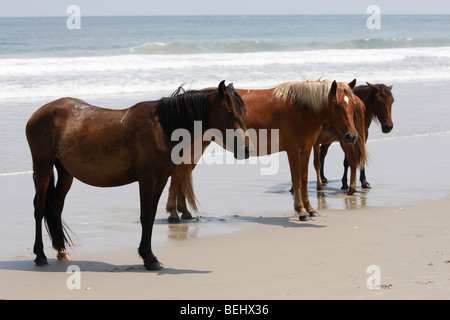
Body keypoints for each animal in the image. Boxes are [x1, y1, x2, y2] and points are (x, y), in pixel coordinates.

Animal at [25, 80, 250, 270]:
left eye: (244, 110)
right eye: (229, 110)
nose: (246, 149)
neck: (162, 128)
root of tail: (38, 113)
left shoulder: (161, 180)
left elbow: (150, 216)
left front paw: (149, 256)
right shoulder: (147, 179)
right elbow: (146, 215)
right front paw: (149, 258)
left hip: (66, 173)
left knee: (57, 207)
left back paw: (61, 251)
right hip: (43, 167)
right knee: (39, 207)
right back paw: (40, 255)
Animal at [165, 79, 358, 222]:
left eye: (352, 104)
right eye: (336, 104)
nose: (352, 136)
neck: (301, 108)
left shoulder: (306, 149)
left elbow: (303, 179)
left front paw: (310, 209)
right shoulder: (293, 150)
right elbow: (296, 180)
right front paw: (301, 211)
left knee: (182, 175)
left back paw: (184, 212)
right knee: (177, 176)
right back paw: (173, 213)